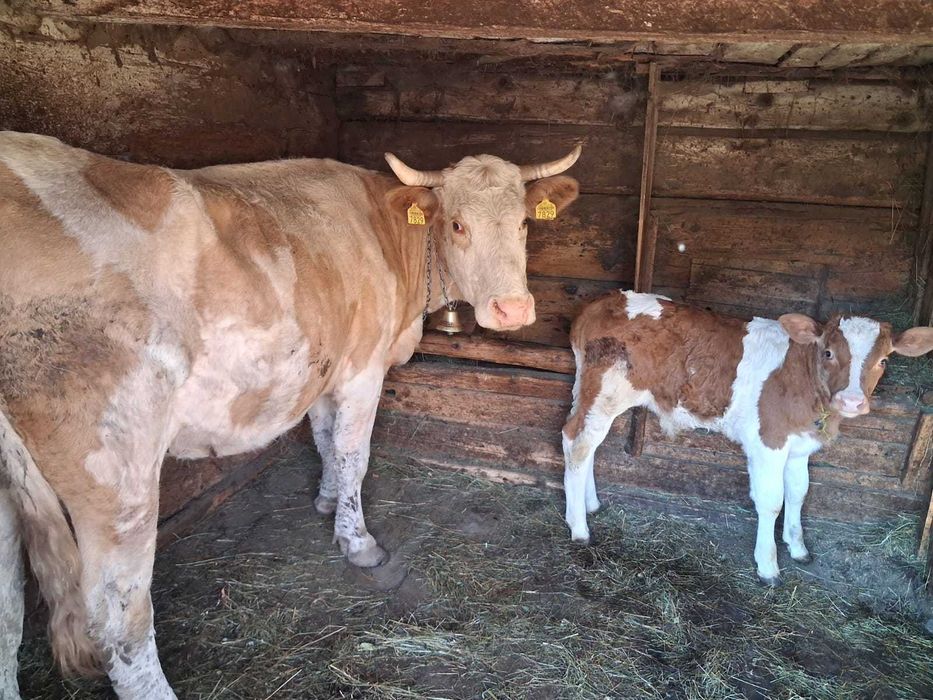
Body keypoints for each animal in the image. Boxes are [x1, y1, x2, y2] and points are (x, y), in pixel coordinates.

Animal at [0, 131, 581, 699]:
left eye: (524, 222)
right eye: (457, 224)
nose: (513, 309)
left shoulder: (326, 365)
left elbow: (324, 439)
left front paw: (325, 499)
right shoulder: (362, 368)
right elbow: (352, 454)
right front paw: (357, 540)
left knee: (9, 613)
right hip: (116, 473)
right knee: (118, 618)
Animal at [562, 290, 933, 586]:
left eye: (884, 360)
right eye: (828, 352)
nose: (853, 402)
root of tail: (601, 302)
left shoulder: (799, 446)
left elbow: (798, 493)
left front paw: (798, 547)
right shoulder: (768, 441)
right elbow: (772, 501)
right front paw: (768, 565)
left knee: (584, 444)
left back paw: (590, 504)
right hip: (606, 391)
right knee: (577, 441)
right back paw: (579, 527)